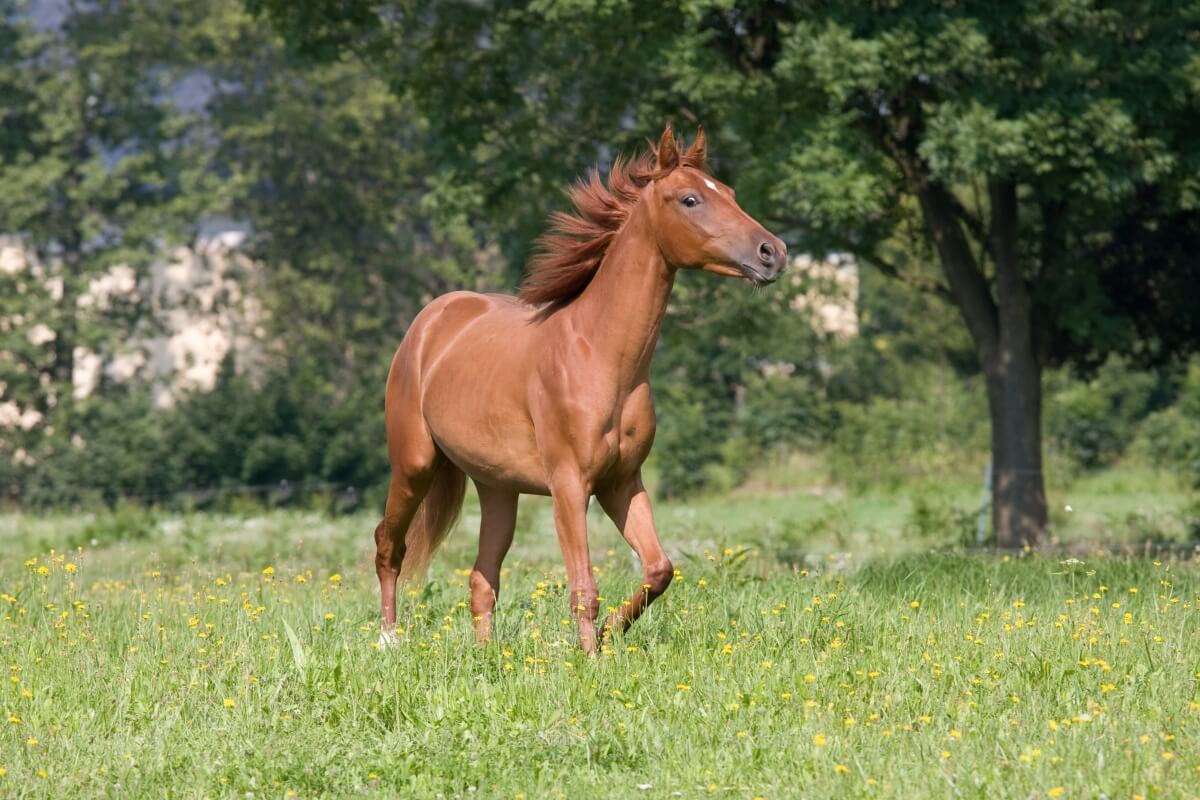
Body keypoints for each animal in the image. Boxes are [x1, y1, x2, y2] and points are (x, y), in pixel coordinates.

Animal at [374, 125, 787, 653]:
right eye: (691, 199)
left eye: (730, 194)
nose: (773, 253)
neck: (599, 356)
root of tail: (431, 320)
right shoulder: (570, 486)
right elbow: (584, 587)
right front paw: (589, 657)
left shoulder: (622, 482)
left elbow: (659, 569)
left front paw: (609, 636)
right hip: (414, 465)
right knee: (390, 544)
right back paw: (389, 638)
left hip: (497, 488)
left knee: (482, 578)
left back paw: (485, 654)